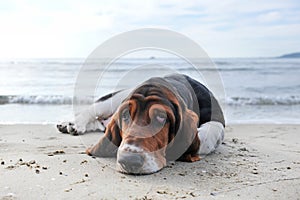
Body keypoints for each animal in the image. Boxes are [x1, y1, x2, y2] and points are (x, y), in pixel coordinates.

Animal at [56, 73, 225, 173]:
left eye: (161, 117)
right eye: (125, 115)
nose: (129, 160)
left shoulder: (217, 117)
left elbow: (208, 135)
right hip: (116, 98)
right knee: (91, 111)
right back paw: (72, 124)